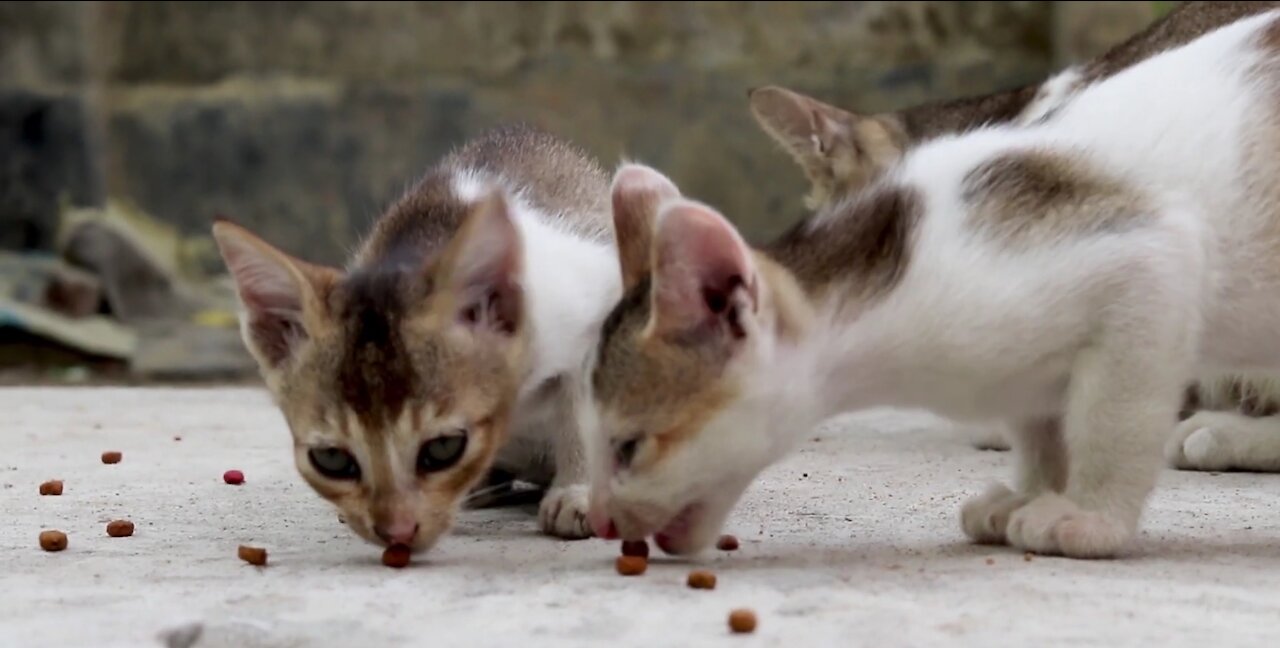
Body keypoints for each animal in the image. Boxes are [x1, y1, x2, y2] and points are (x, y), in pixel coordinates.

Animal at [586, 8, 1280, 555]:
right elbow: (1042, 425)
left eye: (627, 447)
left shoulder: (1147, 257)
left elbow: (1115, 419)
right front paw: (1032, 491)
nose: (599, 520)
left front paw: (1089, 515)